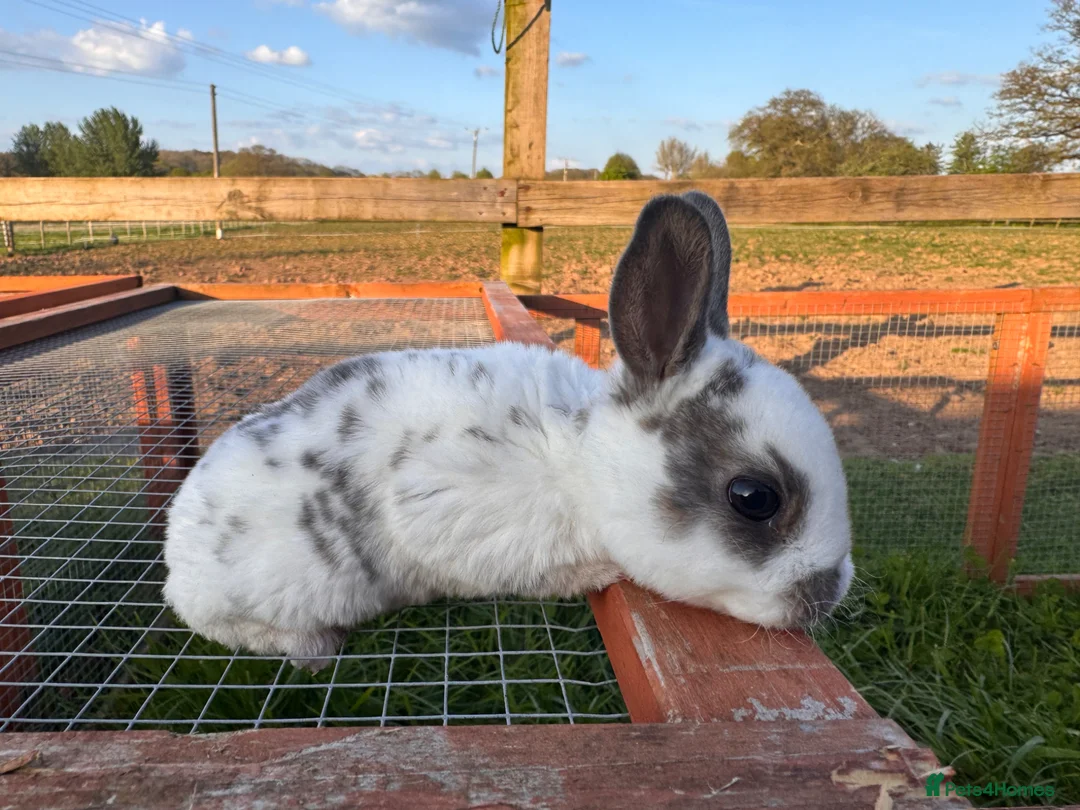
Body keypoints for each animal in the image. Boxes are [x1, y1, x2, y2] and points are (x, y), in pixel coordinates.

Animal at [163, 190, 854, 671]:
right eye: (754, 498)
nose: (829, 593)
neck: (579, 461)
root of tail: (176, 549)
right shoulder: (447, 508)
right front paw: (597, 572)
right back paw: (313, 647)